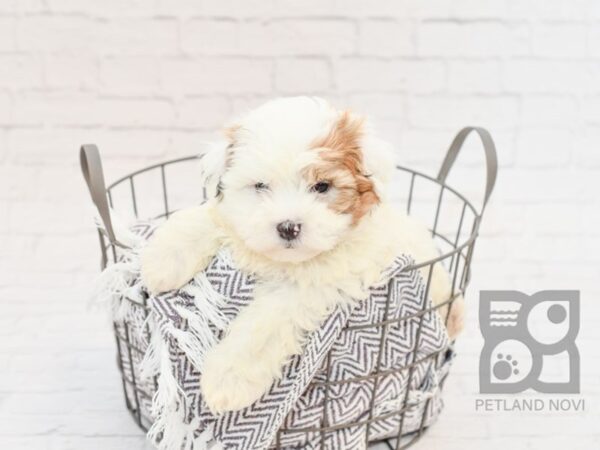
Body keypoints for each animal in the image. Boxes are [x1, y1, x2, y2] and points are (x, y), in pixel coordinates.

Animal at [142, 97, 464, 414]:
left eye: (322, 186)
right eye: (261, 186)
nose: (288, 227)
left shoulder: (309, 289)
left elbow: (264, 325)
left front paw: (228, 378)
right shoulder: (237, 218)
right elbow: (212, 215)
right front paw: (161, 261)